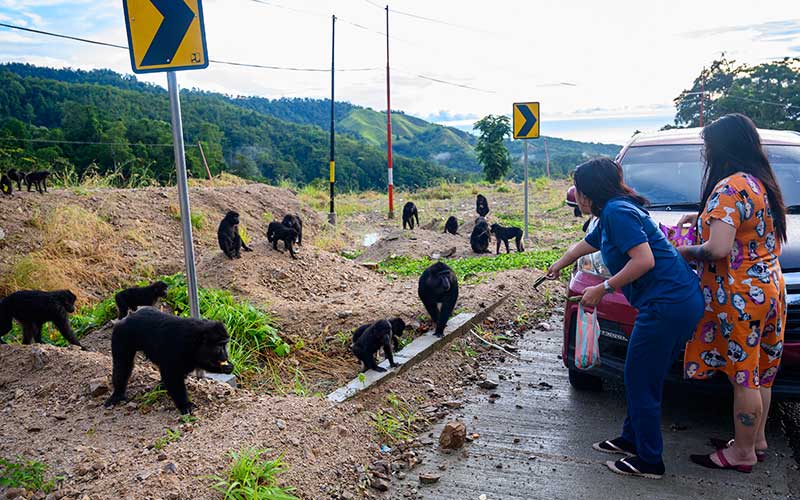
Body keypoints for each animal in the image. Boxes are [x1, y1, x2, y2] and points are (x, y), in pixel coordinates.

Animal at [104, 308, 233, 414]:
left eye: (226, 344)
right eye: (220, 346)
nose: (226, 355)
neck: (196, 340)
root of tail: (128, 317)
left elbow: (200, 361)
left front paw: (226, 367)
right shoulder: (180, 347)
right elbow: (173, 377)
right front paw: (184, 404)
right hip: (121, 334)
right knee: (122, 365)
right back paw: (118, 393)